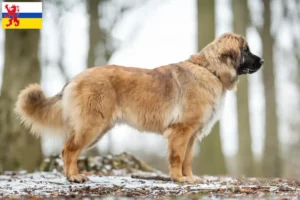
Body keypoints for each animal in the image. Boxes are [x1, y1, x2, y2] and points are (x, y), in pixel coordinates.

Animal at [14, 32, 262, 183]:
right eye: (246, 50)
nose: (262, 61)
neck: (210, 70)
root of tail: (75, 78)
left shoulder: (192, 135)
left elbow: (188, 159)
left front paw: (189, 178)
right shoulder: (181, 131)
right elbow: (177, 157)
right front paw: (178, 179)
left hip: (97, 129)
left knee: (68, 150)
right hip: (92, 126)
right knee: (69, 150)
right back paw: (74, 177)